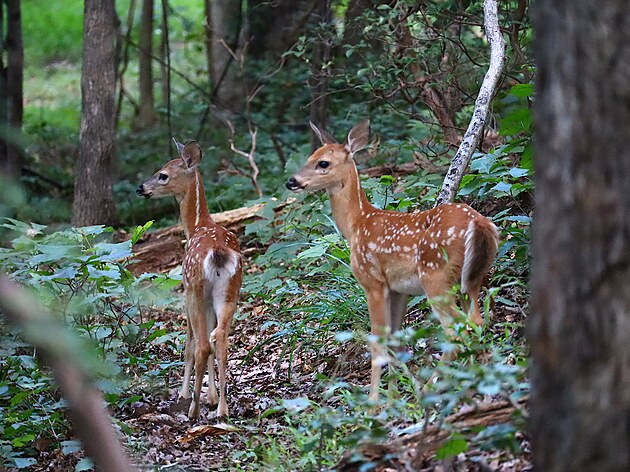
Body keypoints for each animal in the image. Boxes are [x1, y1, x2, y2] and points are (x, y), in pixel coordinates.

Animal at [136, 140, 242, 418]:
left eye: (163, 175)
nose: (141, 188)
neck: (196, 225)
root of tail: (217, 253)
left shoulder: (185, 291)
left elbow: (189, 344)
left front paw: (186, 394)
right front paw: (212, 397)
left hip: (195, 289)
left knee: (202, 344)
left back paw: (192, 409)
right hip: (229, 291)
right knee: (221, 339)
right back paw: (223, 409)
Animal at [286, 119, 499, 401]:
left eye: (323, 163)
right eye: (309, 157)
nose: (291, 181)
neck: (357, 224)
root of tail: (480, 223)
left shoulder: (373, 282)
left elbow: (378, 343)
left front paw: (374, 401)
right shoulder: (398, 289)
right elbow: (396, 341)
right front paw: (392, 398)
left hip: (436, 275)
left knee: (456, 329)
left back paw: (431, 388)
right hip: (471, 278)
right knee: (476, 321)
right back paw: (482, 386)